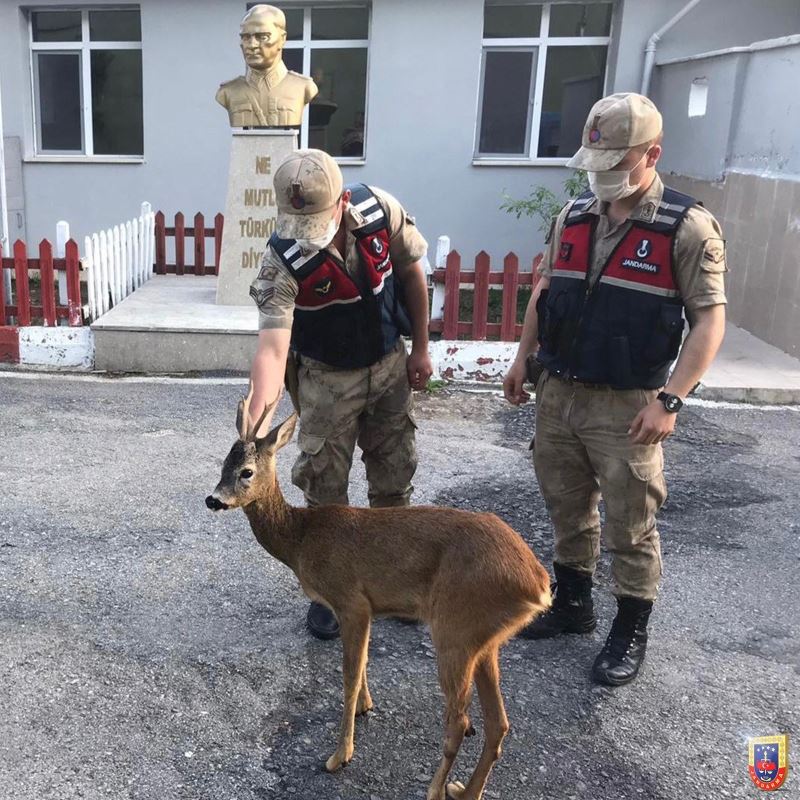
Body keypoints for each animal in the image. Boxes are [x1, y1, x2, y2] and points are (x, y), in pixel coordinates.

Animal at [206, 392, 552, 800]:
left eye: (246, 471)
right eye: (223, 464)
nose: (213, 499)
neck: (301, 541)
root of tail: (538, 584)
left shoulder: (350, 598)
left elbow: (349, 674)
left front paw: (340, 754)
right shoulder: (365, 607)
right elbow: (364, 663)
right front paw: (365, 707)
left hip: (455, 626)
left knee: (459, 721)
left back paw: (435, 790)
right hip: (484, 639)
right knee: (499, 723)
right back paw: (464, 790)